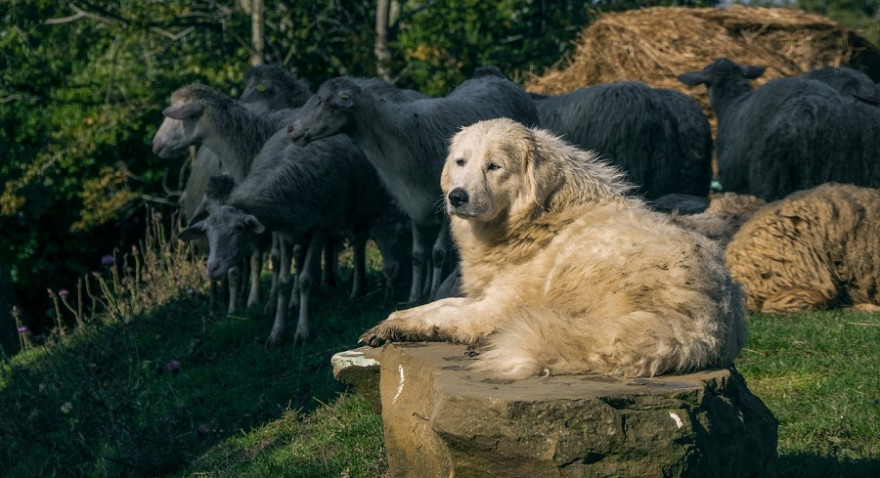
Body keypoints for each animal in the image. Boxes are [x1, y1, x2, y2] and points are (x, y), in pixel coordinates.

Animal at [288, 71, 544, 302]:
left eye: (325, 101)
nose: (291, 130)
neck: (400, 136)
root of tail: (495, 77)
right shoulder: (414, 202)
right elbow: (418, 255)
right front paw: (414, 295)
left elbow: (438, 253)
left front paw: (433, 291)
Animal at [360, 117, 744, 380]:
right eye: (461, 162)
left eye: (494, 166)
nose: (457, 197)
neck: (540, 218)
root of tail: (711, 322)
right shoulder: (483, 295)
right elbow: (437, 305)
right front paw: (392, 321)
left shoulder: (495, 306)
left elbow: (443, 316)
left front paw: (392, 326)